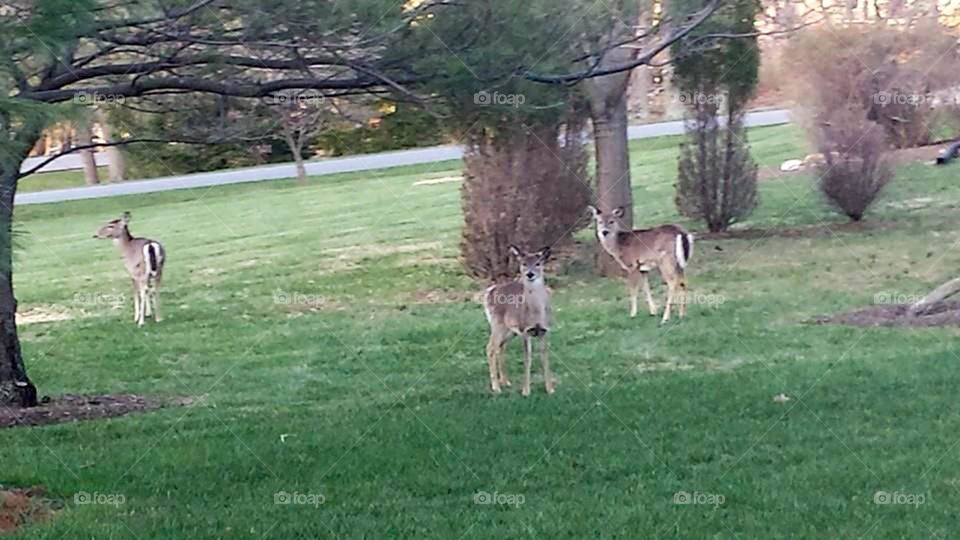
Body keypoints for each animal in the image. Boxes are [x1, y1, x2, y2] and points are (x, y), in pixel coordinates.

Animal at [484, 247, 552, 394]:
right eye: (524, 263)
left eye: (538, 263)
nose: (530, 274)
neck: (536, 313)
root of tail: (490, 290)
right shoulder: (525, 331)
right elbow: (527, 359)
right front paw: (526, 391)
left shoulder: (544, 331)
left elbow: (544, 358)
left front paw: (550, 389)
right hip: (497, 323)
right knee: (490, 348)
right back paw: (496, 387)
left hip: (510, 330)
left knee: (501, 347)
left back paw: (505, 381)